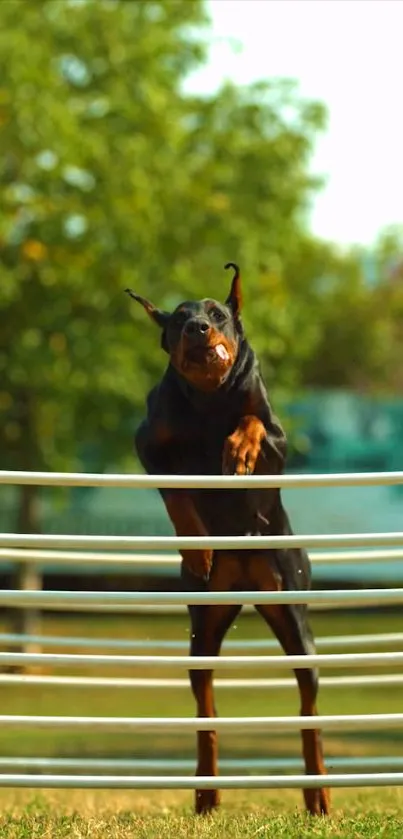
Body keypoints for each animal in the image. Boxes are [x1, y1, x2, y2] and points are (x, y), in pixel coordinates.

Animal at [127, 266, 332, 816]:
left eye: (216, 313)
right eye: (178, 318)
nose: (198, 328)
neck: (208, 398)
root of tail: (242, 571)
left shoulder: (277, 440)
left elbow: (255, 422)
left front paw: (237, 448)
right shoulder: (149, 442)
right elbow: (178, 495)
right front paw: (197, 547)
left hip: (292, 609)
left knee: (309, 710)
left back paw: (319, 792)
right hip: (203, 628)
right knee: (207, 711)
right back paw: (206, 790)